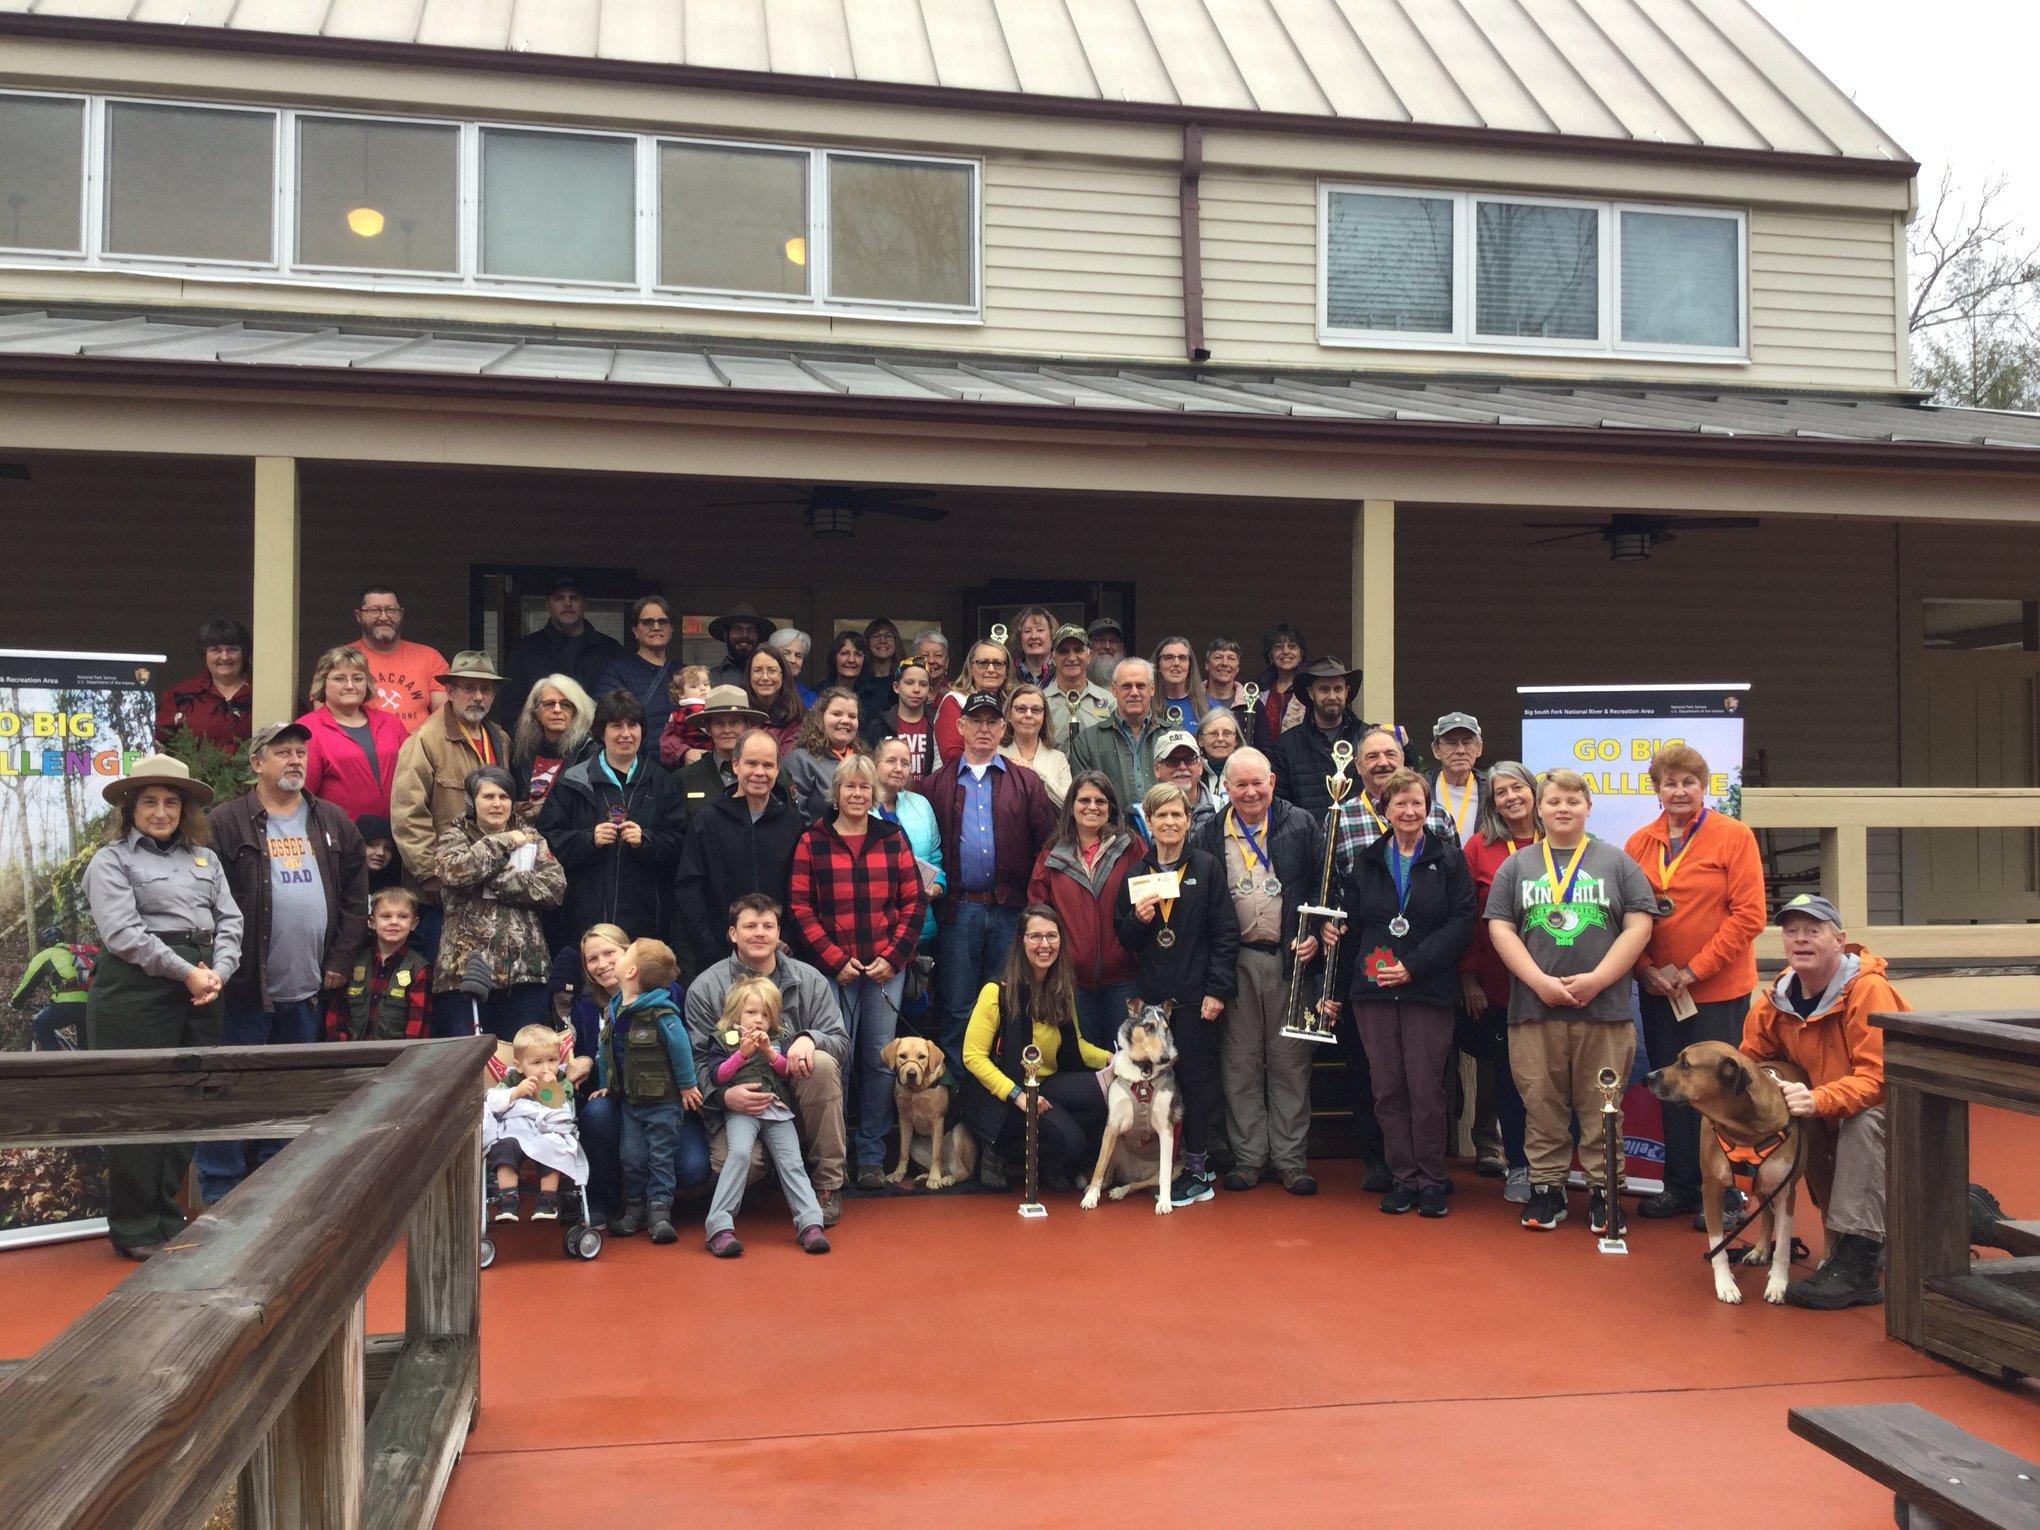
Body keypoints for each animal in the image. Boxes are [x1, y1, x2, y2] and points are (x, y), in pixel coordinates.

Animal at [879, 1035, 977, 1190]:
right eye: (902, 1056)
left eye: (922, 1057)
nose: (911, 1074)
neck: (916, 1090)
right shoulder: (904, 1120)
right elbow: (903, 1151)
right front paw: (898, 1173)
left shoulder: (938, 1120)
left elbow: (936, 1154)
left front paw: (934, 1179)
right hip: (915, 1146)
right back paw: (925, 1176)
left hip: (958, 1133)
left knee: (963, 1171)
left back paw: (948, 1178)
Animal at [1081, 1000, 1184, 1216]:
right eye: (1148, 1026)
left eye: (1166, 1029)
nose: (1165, 1058)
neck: (1143, 1071)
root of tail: (1133, 1173)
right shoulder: (1112, 1126)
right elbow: (1099, 1165)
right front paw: (1090, 1198)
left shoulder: (1166, 1128)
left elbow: (1163, 1176)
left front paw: (1165, 1203)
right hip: (1115, 1145)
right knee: (1108, 1176)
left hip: (1176, 1167)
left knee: (1140, 1184)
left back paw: (1120, 1191)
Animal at [1645, 1041, 1808, 1306]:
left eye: (1685, 1064)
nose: (1647, 1077)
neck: (1744, 1129)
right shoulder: (1712, 1189)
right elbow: (1718, 1245)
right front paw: (1725, 1284)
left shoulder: (1786, 1192)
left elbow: (1783, 1246)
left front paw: (1778, 1284)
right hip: (1761, 1187)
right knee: (1766, 1214)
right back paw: (1760, 1251)